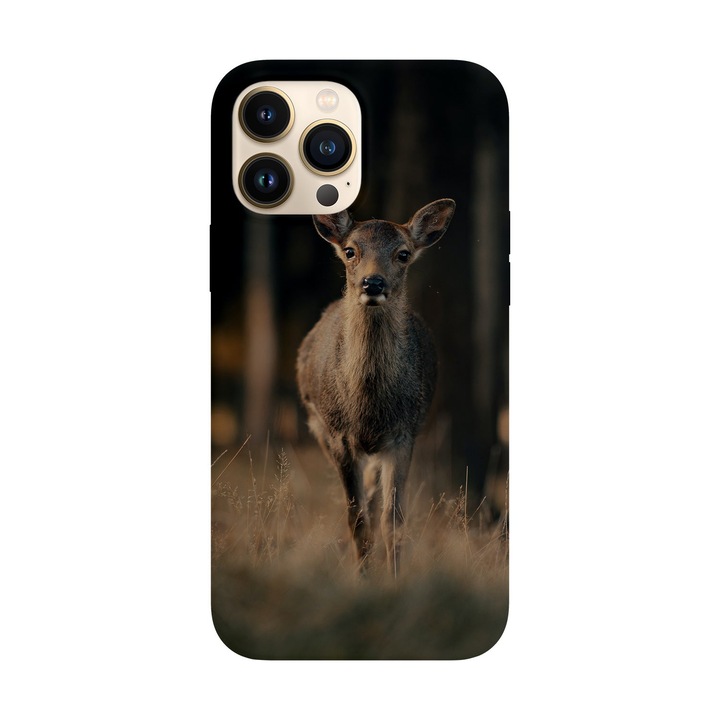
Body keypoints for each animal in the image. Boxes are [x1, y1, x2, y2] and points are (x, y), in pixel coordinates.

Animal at [296, 199, 456, 575]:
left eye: (403, 253)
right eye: (350, 251)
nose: (372, 282)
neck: (368, 407)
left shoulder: (404, 434)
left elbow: (393, 520)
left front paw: (393, 578)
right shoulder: (338, 435)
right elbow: (356, 518)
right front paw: (363, 578)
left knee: (373, 497)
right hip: (319, 428)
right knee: (362, 505)